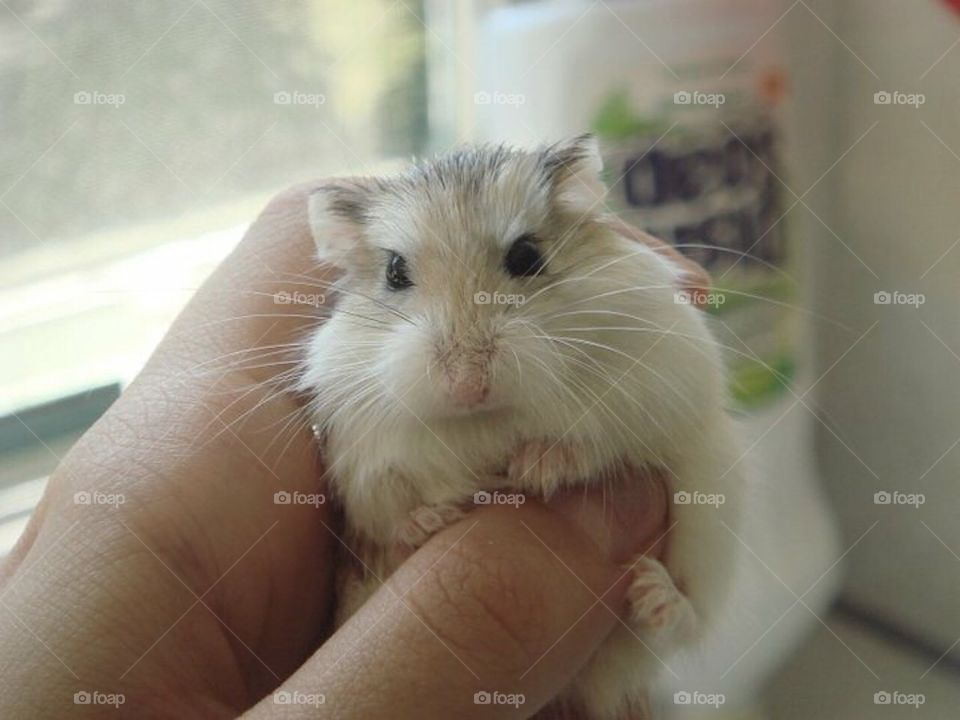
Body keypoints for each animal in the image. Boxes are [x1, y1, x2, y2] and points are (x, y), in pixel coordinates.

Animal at [299, 135, 744, 719]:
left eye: (527, 256)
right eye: (394, 272)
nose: (467, 384)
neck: (489, 420)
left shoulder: (656, 387)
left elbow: (598, 443)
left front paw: (532, 468)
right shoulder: (363, 458)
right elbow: (388, 510)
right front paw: (430, 522)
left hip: (711, 520)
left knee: (680, 624)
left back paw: (656, 594)